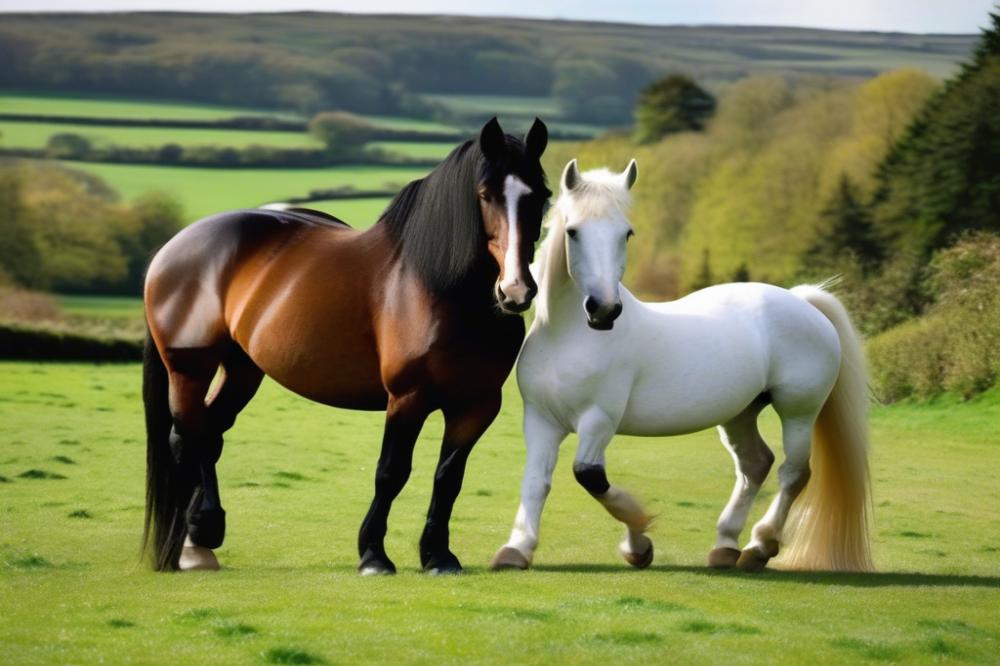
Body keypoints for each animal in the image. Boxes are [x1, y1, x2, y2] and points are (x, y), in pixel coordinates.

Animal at [143, 116, 548, 572]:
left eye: (541, 197)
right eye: (484, 195)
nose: (515, 290)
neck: (438, 285)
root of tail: (174, 246)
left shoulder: (477, 405)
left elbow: (449, 478)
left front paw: (438, 555)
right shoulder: (407, 397)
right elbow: (391, 472)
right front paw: (373, 554)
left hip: (242, 369)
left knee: (205, 435)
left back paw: (198, 541)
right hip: (189, 369)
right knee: (188, 436)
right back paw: (199, 537)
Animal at [492, 158, 876, 568]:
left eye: (627, 233)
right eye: (573, 231)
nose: (604, 309)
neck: (568, 337)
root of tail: (802, 301)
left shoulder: (599, 420)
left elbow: (590, 477)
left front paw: (639, 543)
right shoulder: (541, 421)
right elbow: (536, 480)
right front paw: (516, 549)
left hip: (798, 411)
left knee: (793, 472)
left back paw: (760, 545)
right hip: (741, 413)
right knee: (755, 464)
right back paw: (726, 545)